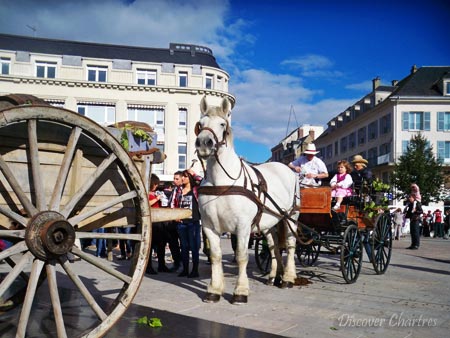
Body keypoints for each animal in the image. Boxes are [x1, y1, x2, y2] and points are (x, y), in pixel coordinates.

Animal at [195, 95, 300, 304]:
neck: (222, 182)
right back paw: (274, 276)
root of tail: (287, 169)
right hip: (269, 223)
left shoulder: (242, 227)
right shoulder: (209, 226)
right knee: (274, 246)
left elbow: (242, 256)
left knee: (291, 245)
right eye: (201, 123)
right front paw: (214, 289)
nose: (203, 143)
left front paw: (241, 291)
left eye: (222, 124)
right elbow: (216, 256)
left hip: (291, 218)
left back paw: (288, 277)